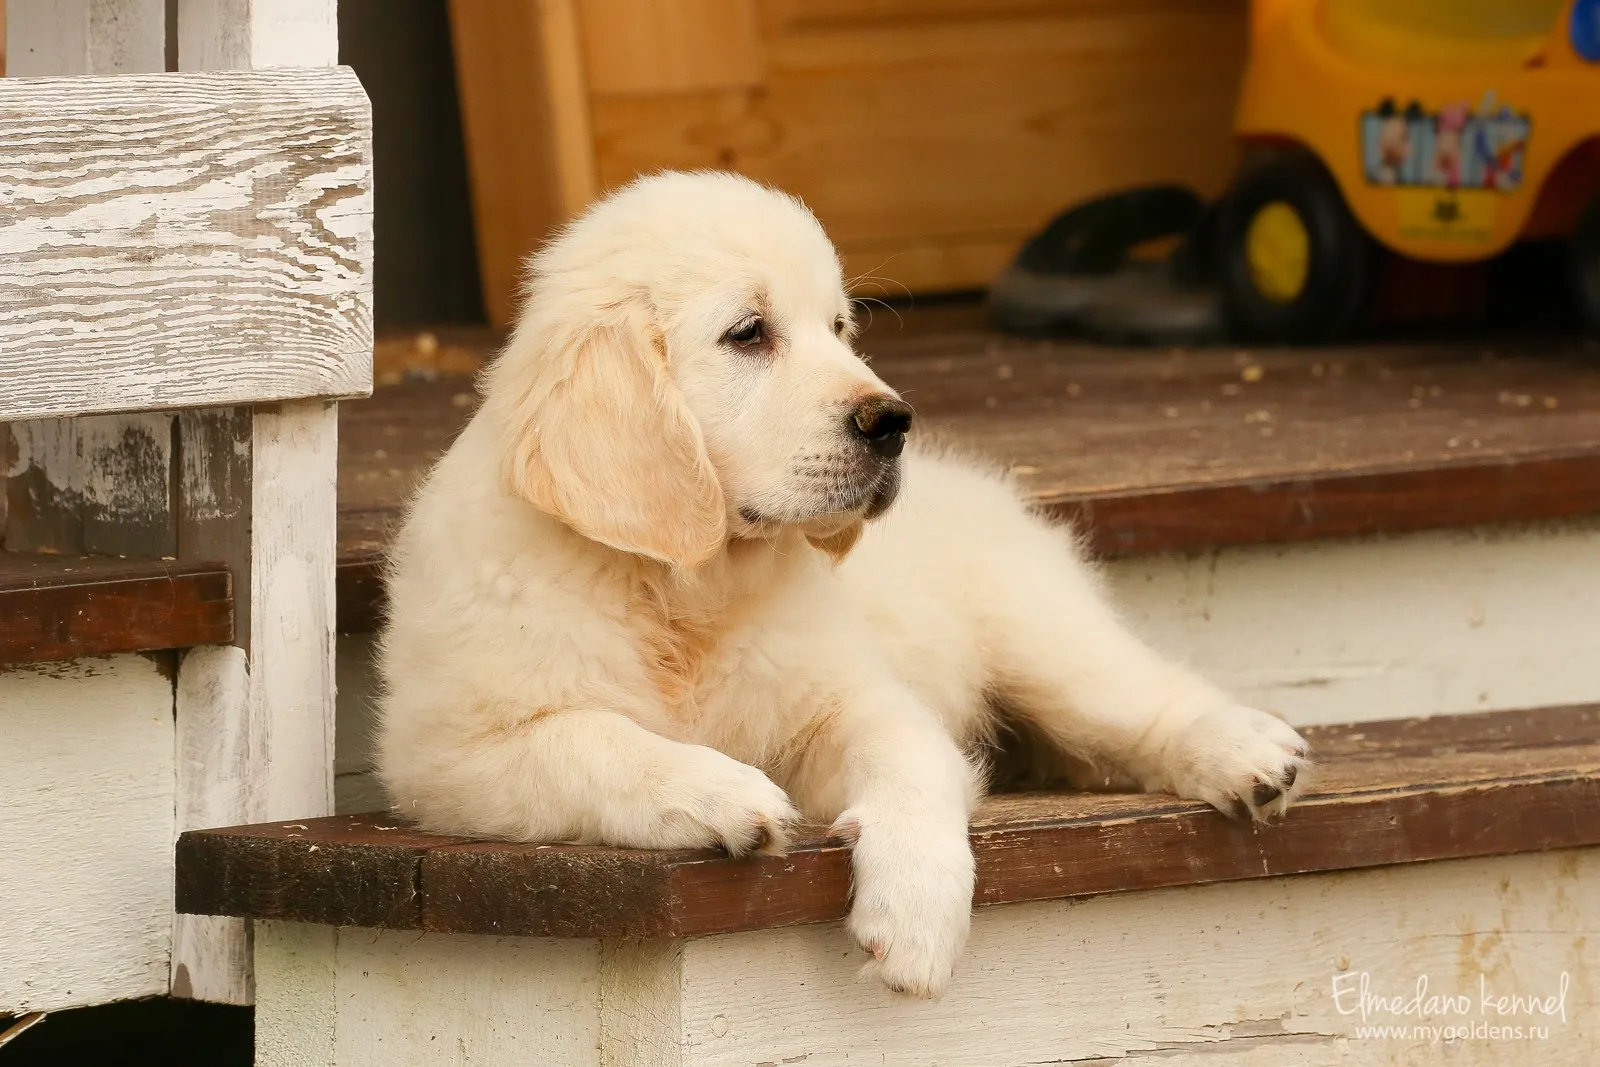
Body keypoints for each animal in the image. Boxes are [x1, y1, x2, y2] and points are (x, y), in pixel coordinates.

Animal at [377, 171, 1312, 998]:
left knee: (1134, 694)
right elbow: (596, 739)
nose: (893, 421)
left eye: (838, 326)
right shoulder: (452, 756)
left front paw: (918, 919)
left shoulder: (854, 699)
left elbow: (913, 761)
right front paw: (720, 790)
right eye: (749, 332)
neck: (685, 589)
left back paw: (1246, 751)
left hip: (1037, 630)